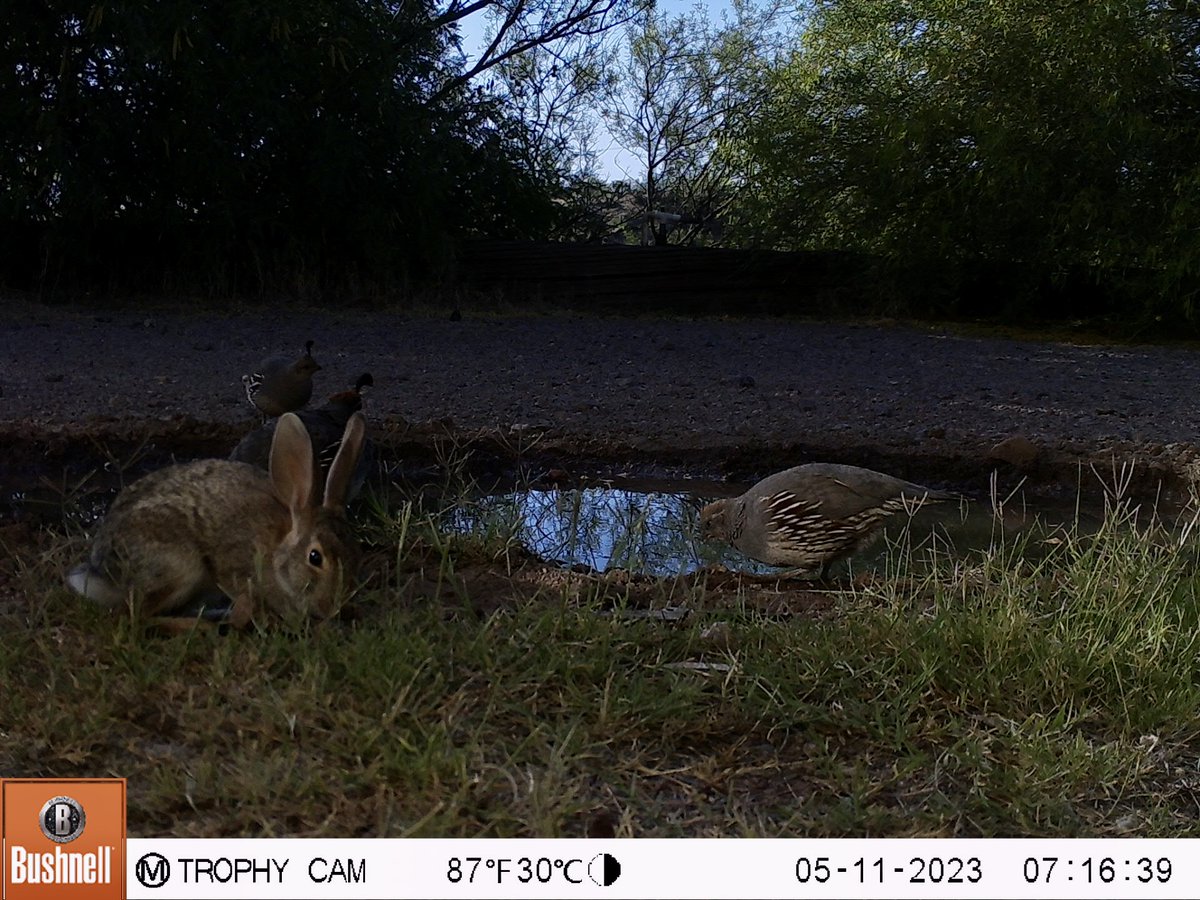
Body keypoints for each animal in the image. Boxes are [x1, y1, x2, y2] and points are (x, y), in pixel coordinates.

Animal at [65, 415, 362, 628]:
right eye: (315, 557)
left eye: (354, 553)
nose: (332, 607)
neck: (279, 550)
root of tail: (104, 575)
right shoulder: (233, 569)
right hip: (178, 568)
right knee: (133, 616)